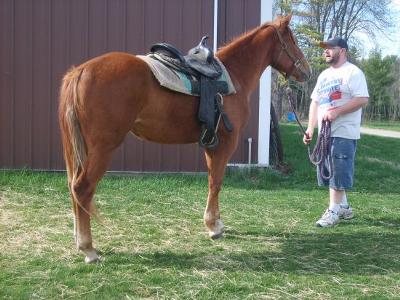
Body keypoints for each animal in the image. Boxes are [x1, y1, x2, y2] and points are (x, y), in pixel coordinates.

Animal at [58, 14, 310, 262]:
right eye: (292, 41)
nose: (307, 71)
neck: (234, 75)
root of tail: (80, 71)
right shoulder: (226, 142)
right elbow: (217, 181)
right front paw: (213, 227)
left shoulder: (211, 144)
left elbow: (212, 180)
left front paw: (216, 222)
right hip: (103, 148)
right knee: (82, 188)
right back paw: (88, 248)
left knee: (73, 187)